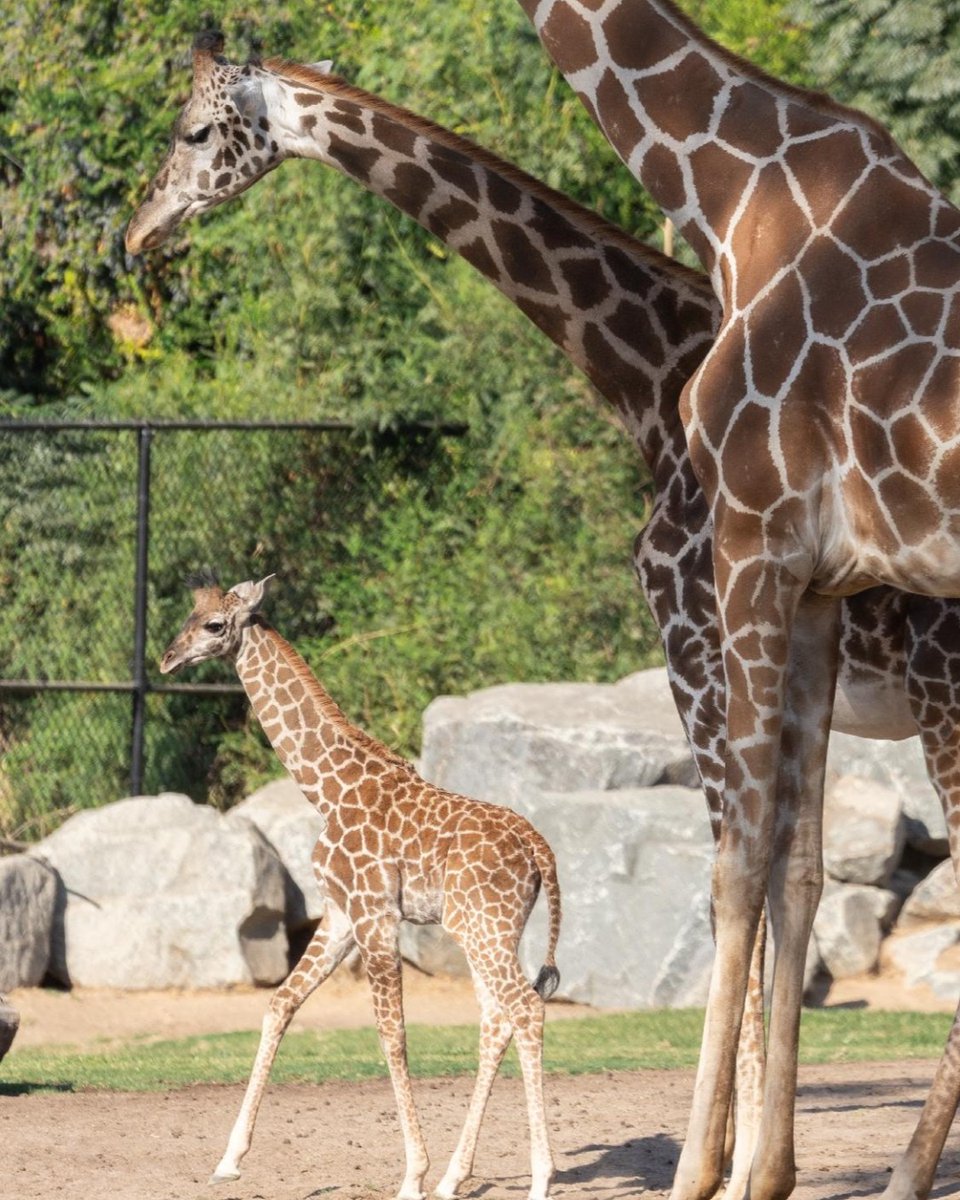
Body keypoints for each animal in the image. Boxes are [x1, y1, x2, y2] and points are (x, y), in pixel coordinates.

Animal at [160, 571, 562, 1200]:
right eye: (190, 616)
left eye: (214, 624)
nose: (168, 658)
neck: (328, 788)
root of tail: (539, 849)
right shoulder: (340, 915)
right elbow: (279, 1004)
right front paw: (229, 1159)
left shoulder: (375, 915)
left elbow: (392, 1035)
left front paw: (412, 1174)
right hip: (489, 930)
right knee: (497, 1019)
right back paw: (455, 1177)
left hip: (483, 927)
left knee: (524, 1009)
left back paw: (539, 1178)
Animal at [511, 2, 960, 1198]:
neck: (736, 187)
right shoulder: (816, 583)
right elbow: (795, 864)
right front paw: (765, 1169)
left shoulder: (750, 543)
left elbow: (736, 864)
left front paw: (698, 1169)